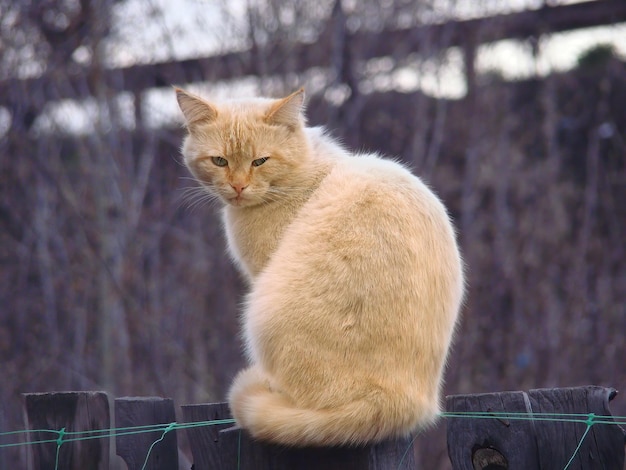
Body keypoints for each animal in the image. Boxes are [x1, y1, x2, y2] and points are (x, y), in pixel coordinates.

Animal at [176, 86, 464, 446]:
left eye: (260, 161)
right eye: (219, 161)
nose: (238, 187)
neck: (303, 172)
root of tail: (400, 403)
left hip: (262, 312)